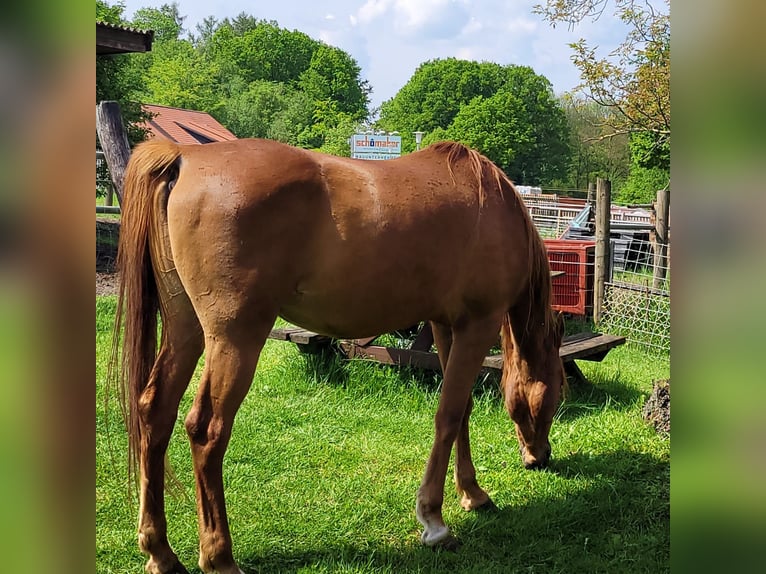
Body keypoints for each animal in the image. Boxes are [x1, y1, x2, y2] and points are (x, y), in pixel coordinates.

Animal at [111, 138, 565, 574]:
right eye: (558, 392)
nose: (540, 457)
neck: (495, 205)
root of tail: (185, 157)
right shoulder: (478, 324)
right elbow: (449, 415)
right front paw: (434, 521)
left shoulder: (446, 324)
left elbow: (462, 410)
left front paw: (472, 492)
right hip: (234, 339)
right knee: (207, 430)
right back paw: (219, 557)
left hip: (186, 331)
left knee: (155, 412)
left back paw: (160, 552)